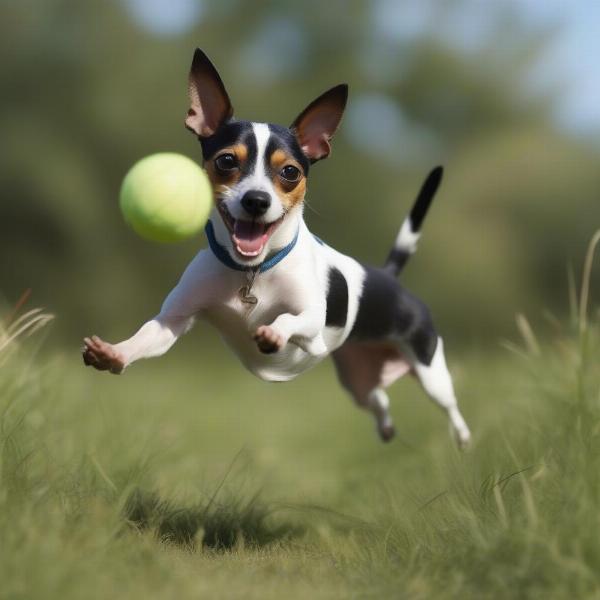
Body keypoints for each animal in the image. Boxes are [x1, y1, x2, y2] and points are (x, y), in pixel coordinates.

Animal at [82, 49, 472, 448]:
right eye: (226, 161)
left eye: (289, 172)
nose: (256, 200)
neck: (253, 270)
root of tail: (388, 276)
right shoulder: (172, 322)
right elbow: (145, 337)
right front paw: (114, 353)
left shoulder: (311, 319)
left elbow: (288, 319)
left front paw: (273, 332)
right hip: (357, 376)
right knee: (378, 399)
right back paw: (387, 427)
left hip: (429, 371)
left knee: (449, 404)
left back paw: (462, 436)